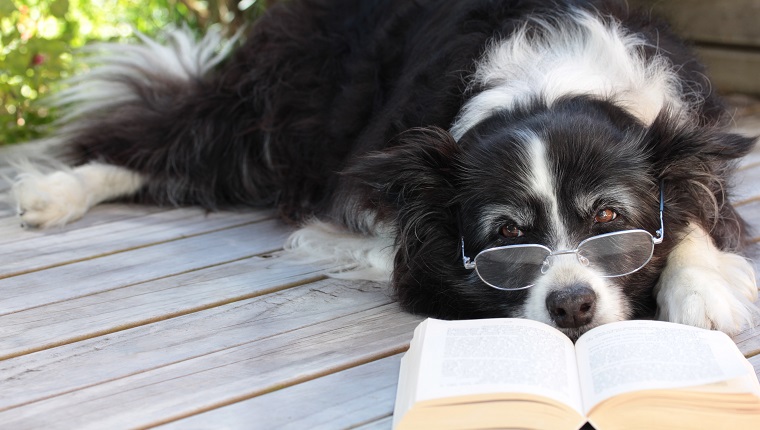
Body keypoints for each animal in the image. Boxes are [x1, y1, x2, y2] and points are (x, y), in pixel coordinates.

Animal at [8, 0, 756, 342]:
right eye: (505, 237)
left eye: (608, 218)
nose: (571, 306)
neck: (548, 87)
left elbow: (697, 208)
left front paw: (700, 287)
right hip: (277, 114)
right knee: (166, 136)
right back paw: (56, 192)